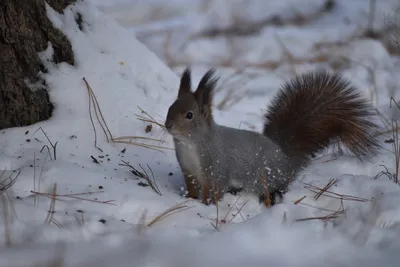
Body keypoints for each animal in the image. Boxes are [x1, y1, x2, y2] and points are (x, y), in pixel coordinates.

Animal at [163, 68, 382, 206]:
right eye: (170, 107)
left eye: (189, 115)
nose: (168, 125)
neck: (191, 144)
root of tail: (286, 158)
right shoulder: (188, 171)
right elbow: (192, 189)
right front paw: (190, 201)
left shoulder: (216, 170)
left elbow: (213, 191)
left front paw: (206, 205)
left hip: (267, 180)